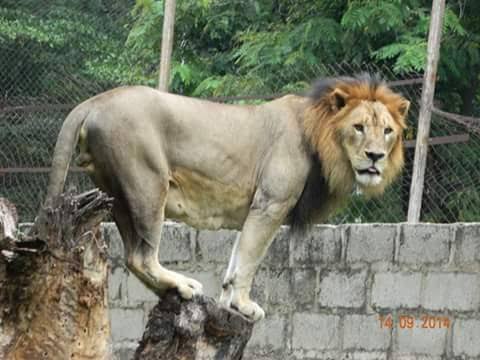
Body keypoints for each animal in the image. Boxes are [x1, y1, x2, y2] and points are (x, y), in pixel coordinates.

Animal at [47, 73, 408, 320]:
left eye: (387, 131)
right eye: (359, 127)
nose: (375, 157)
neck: (321, 138)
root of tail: (96, 100)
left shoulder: (257, 209)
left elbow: (236, 259)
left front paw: (226, 304)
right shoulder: (271, 203)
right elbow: (250, 260)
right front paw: (244, 305)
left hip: (116, 192)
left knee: (133, 257)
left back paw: (172, 289)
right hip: (147, 183)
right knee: (141, 256)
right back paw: (182, 285)